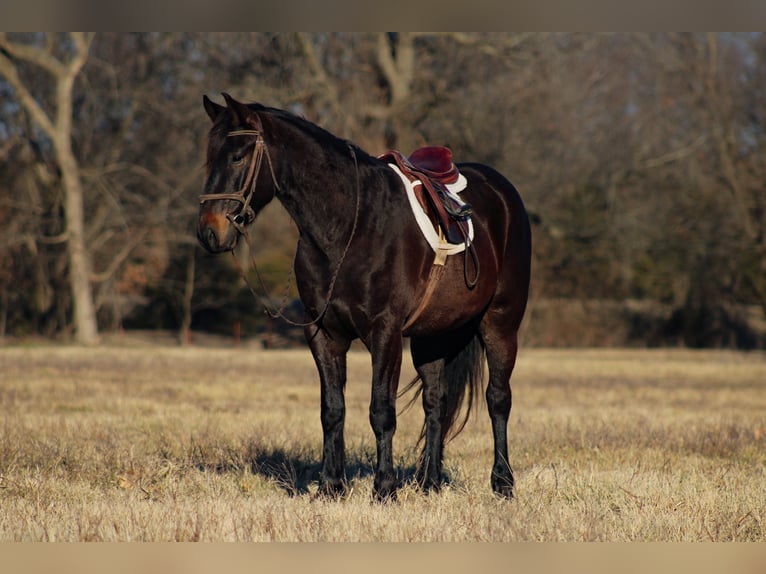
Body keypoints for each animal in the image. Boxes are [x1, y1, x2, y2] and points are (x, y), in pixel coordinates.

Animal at [197, 93, 531, 501]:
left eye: (237, 156)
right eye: (209, 156)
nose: (209, 232)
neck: (349, 228)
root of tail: (502, 192)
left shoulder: (384, 332)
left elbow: (381, 411)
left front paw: (384, 488)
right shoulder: (323, 334)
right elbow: (332, 410)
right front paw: (331, 486)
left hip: (500, 323)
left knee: (498, 399)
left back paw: (502, 483)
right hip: (433, 337)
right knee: (436, 402)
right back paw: (429, 482)